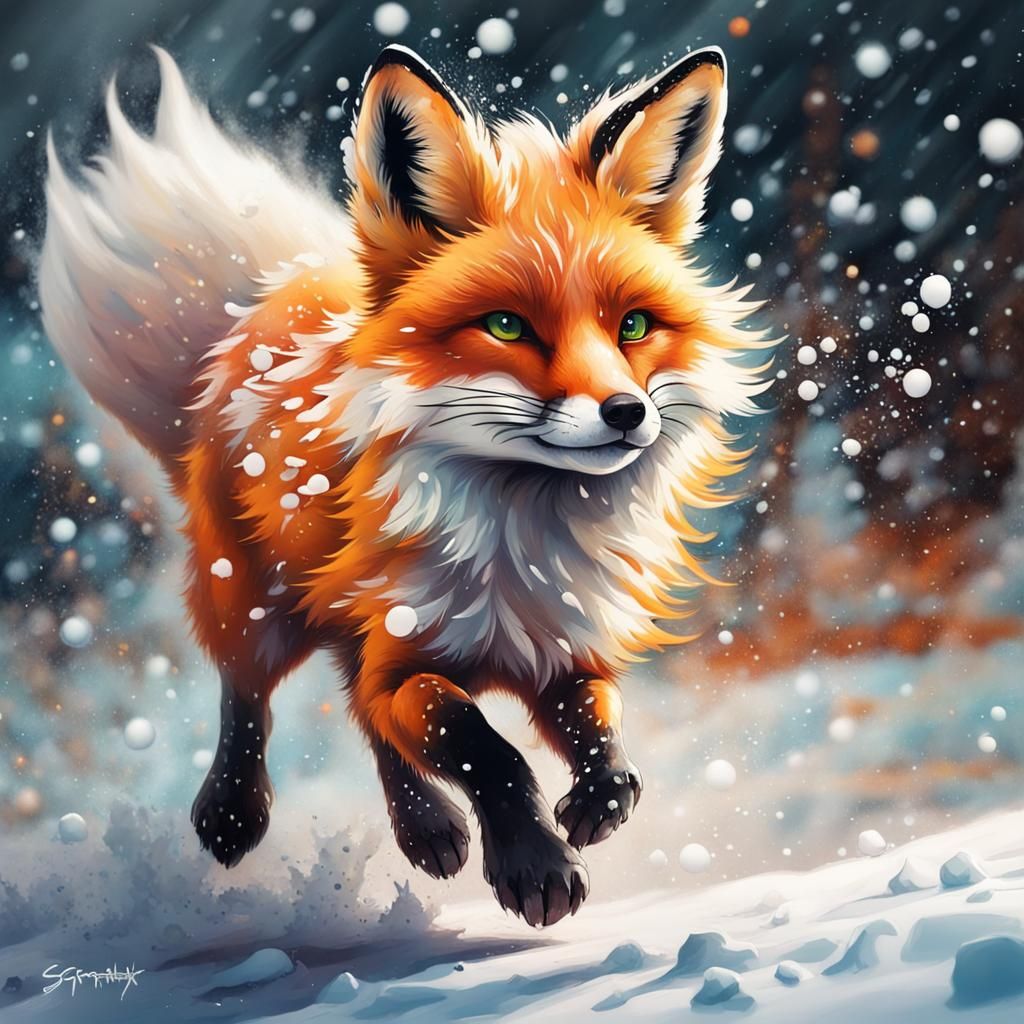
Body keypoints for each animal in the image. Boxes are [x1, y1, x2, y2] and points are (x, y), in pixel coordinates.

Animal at [39, 43, 769, 927]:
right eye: (506, 326)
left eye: (632, 326)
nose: (628, 414)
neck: (519, 542)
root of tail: (269, 298)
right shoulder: (406, 656)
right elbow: (485, 748)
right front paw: (535, 866)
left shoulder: (565, 649)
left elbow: (599, 726)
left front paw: (597, 803)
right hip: (252, 603)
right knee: (248, 696)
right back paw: (235, 811)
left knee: (359, 709)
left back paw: (425, 829)